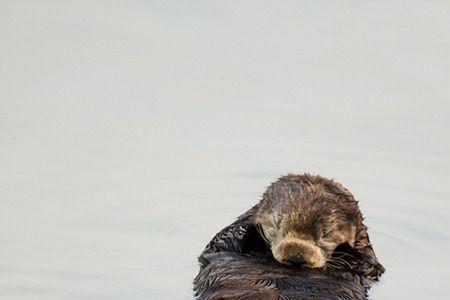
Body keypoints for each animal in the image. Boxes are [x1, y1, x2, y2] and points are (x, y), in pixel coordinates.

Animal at [193, 175, 384, 298]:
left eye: (326, 233)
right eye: (278, 222)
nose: (297, 255)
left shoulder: (369, 259)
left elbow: (368, 265)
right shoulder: (223, 240)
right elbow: (225, 239)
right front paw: (251, 230)